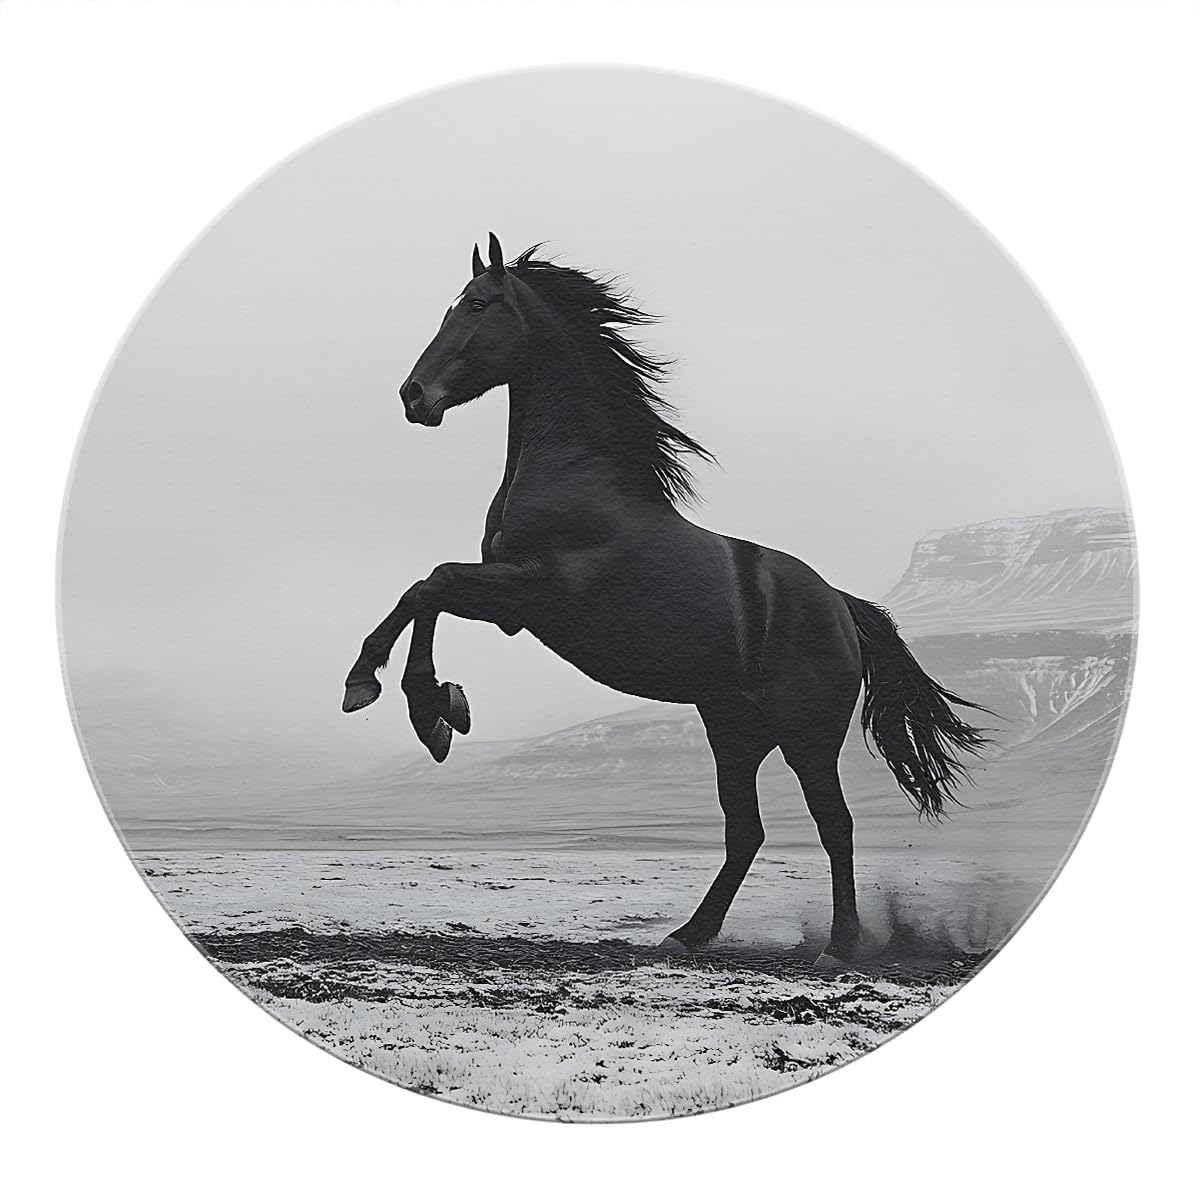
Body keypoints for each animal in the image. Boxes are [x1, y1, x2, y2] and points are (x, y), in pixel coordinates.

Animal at [342, 233, 988, 957]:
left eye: (478, 305)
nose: (413, 394)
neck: (579, 477)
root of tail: (842, 607)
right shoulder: (510, 607)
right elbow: (426, 592)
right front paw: (433, 706)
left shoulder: (537, 591)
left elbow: (432, 583)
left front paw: (397, 695)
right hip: (733, 729)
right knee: (746, 830)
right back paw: (689, 934)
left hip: (806, 734)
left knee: (834, 824)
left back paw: (839, 946)